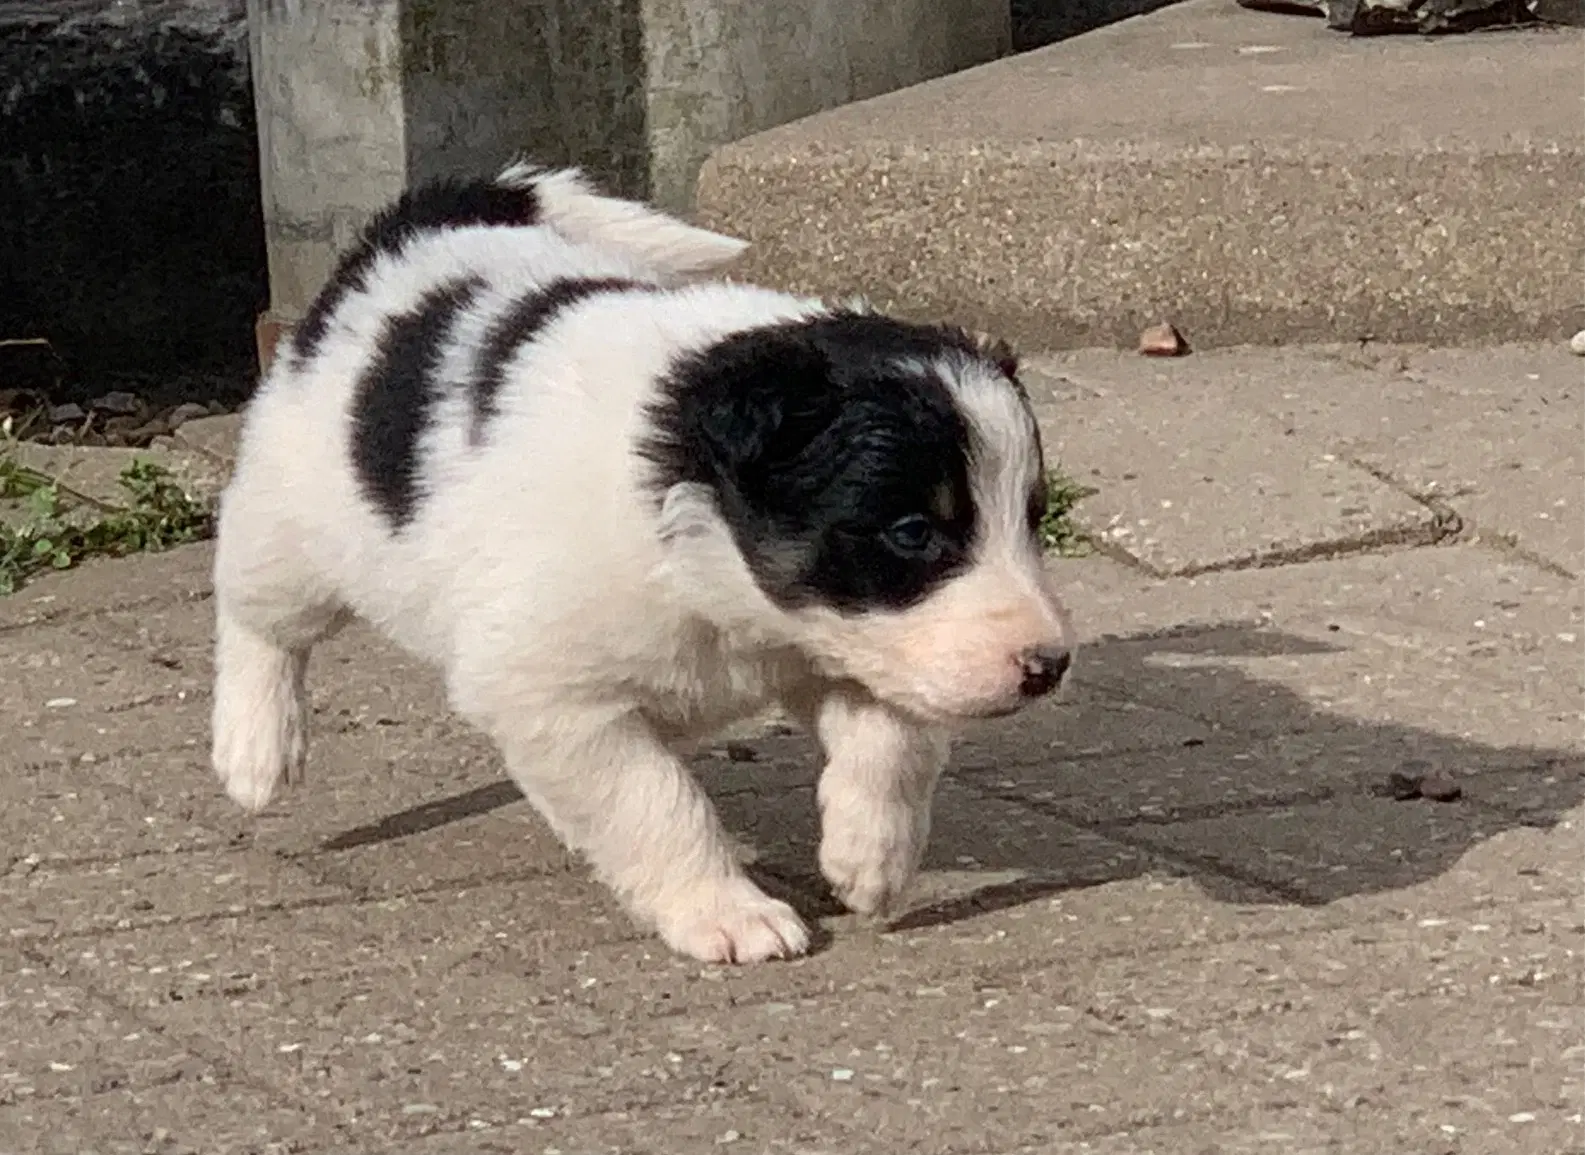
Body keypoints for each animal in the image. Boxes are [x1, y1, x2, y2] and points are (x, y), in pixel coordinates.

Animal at [210, 157, 1071, 956]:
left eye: (1029, 517)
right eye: (912, 532)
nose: (1048, 666)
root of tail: (414, 231)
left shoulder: (841, 643)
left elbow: (895, 739)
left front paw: (871, 859)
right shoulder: (554, 696)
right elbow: (655, 799)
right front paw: (728, 911)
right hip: (299, 523)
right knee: (255, 614)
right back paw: (256, 750)